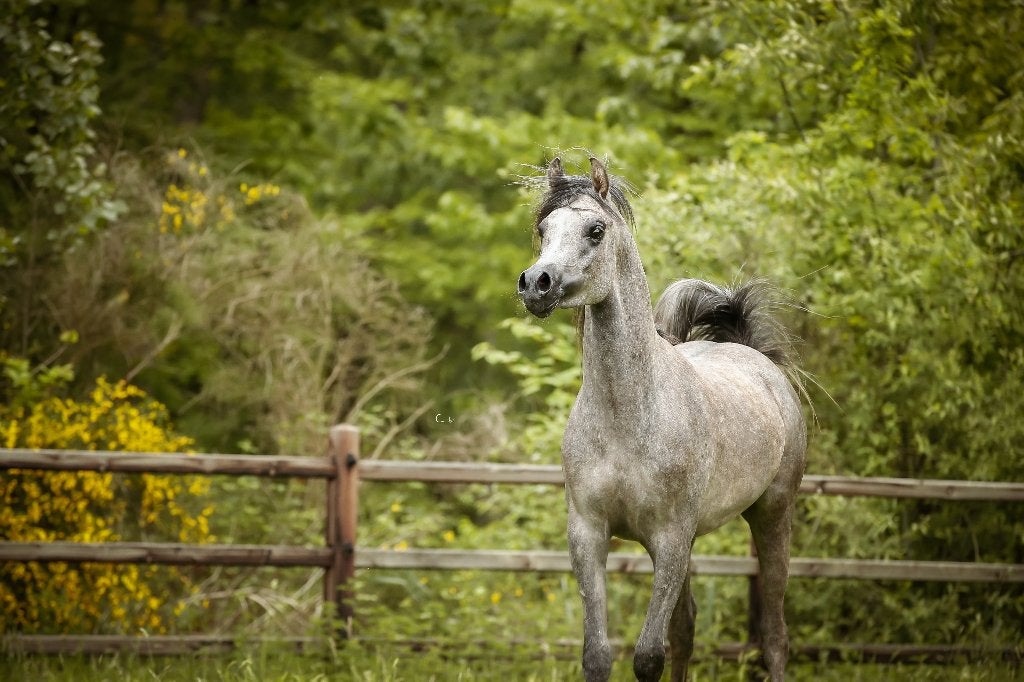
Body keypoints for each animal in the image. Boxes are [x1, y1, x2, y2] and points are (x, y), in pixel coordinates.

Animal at [516, 156, 807, 681]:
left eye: (595, 230)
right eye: (544, 229)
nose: (535, 284)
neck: (629, 416)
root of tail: (753, 356)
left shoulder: (669, 540)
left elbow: (649, 656)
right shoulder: (589, 535)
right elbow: (599, 654)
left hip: (772, 517)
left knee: (775, 635)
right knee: (687, 628)